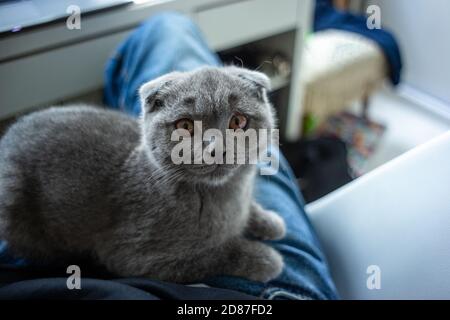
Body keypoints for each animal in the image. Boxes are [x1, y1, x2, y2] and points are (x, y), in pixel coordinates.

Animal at [0, 66, 286, 282]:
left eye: (238, 121)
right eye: (185, 126)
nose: (216, 149)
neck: (224, 194)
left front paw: (270, 222)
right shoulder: (136, 256)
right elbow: (213, 255)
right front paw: (266, 259)